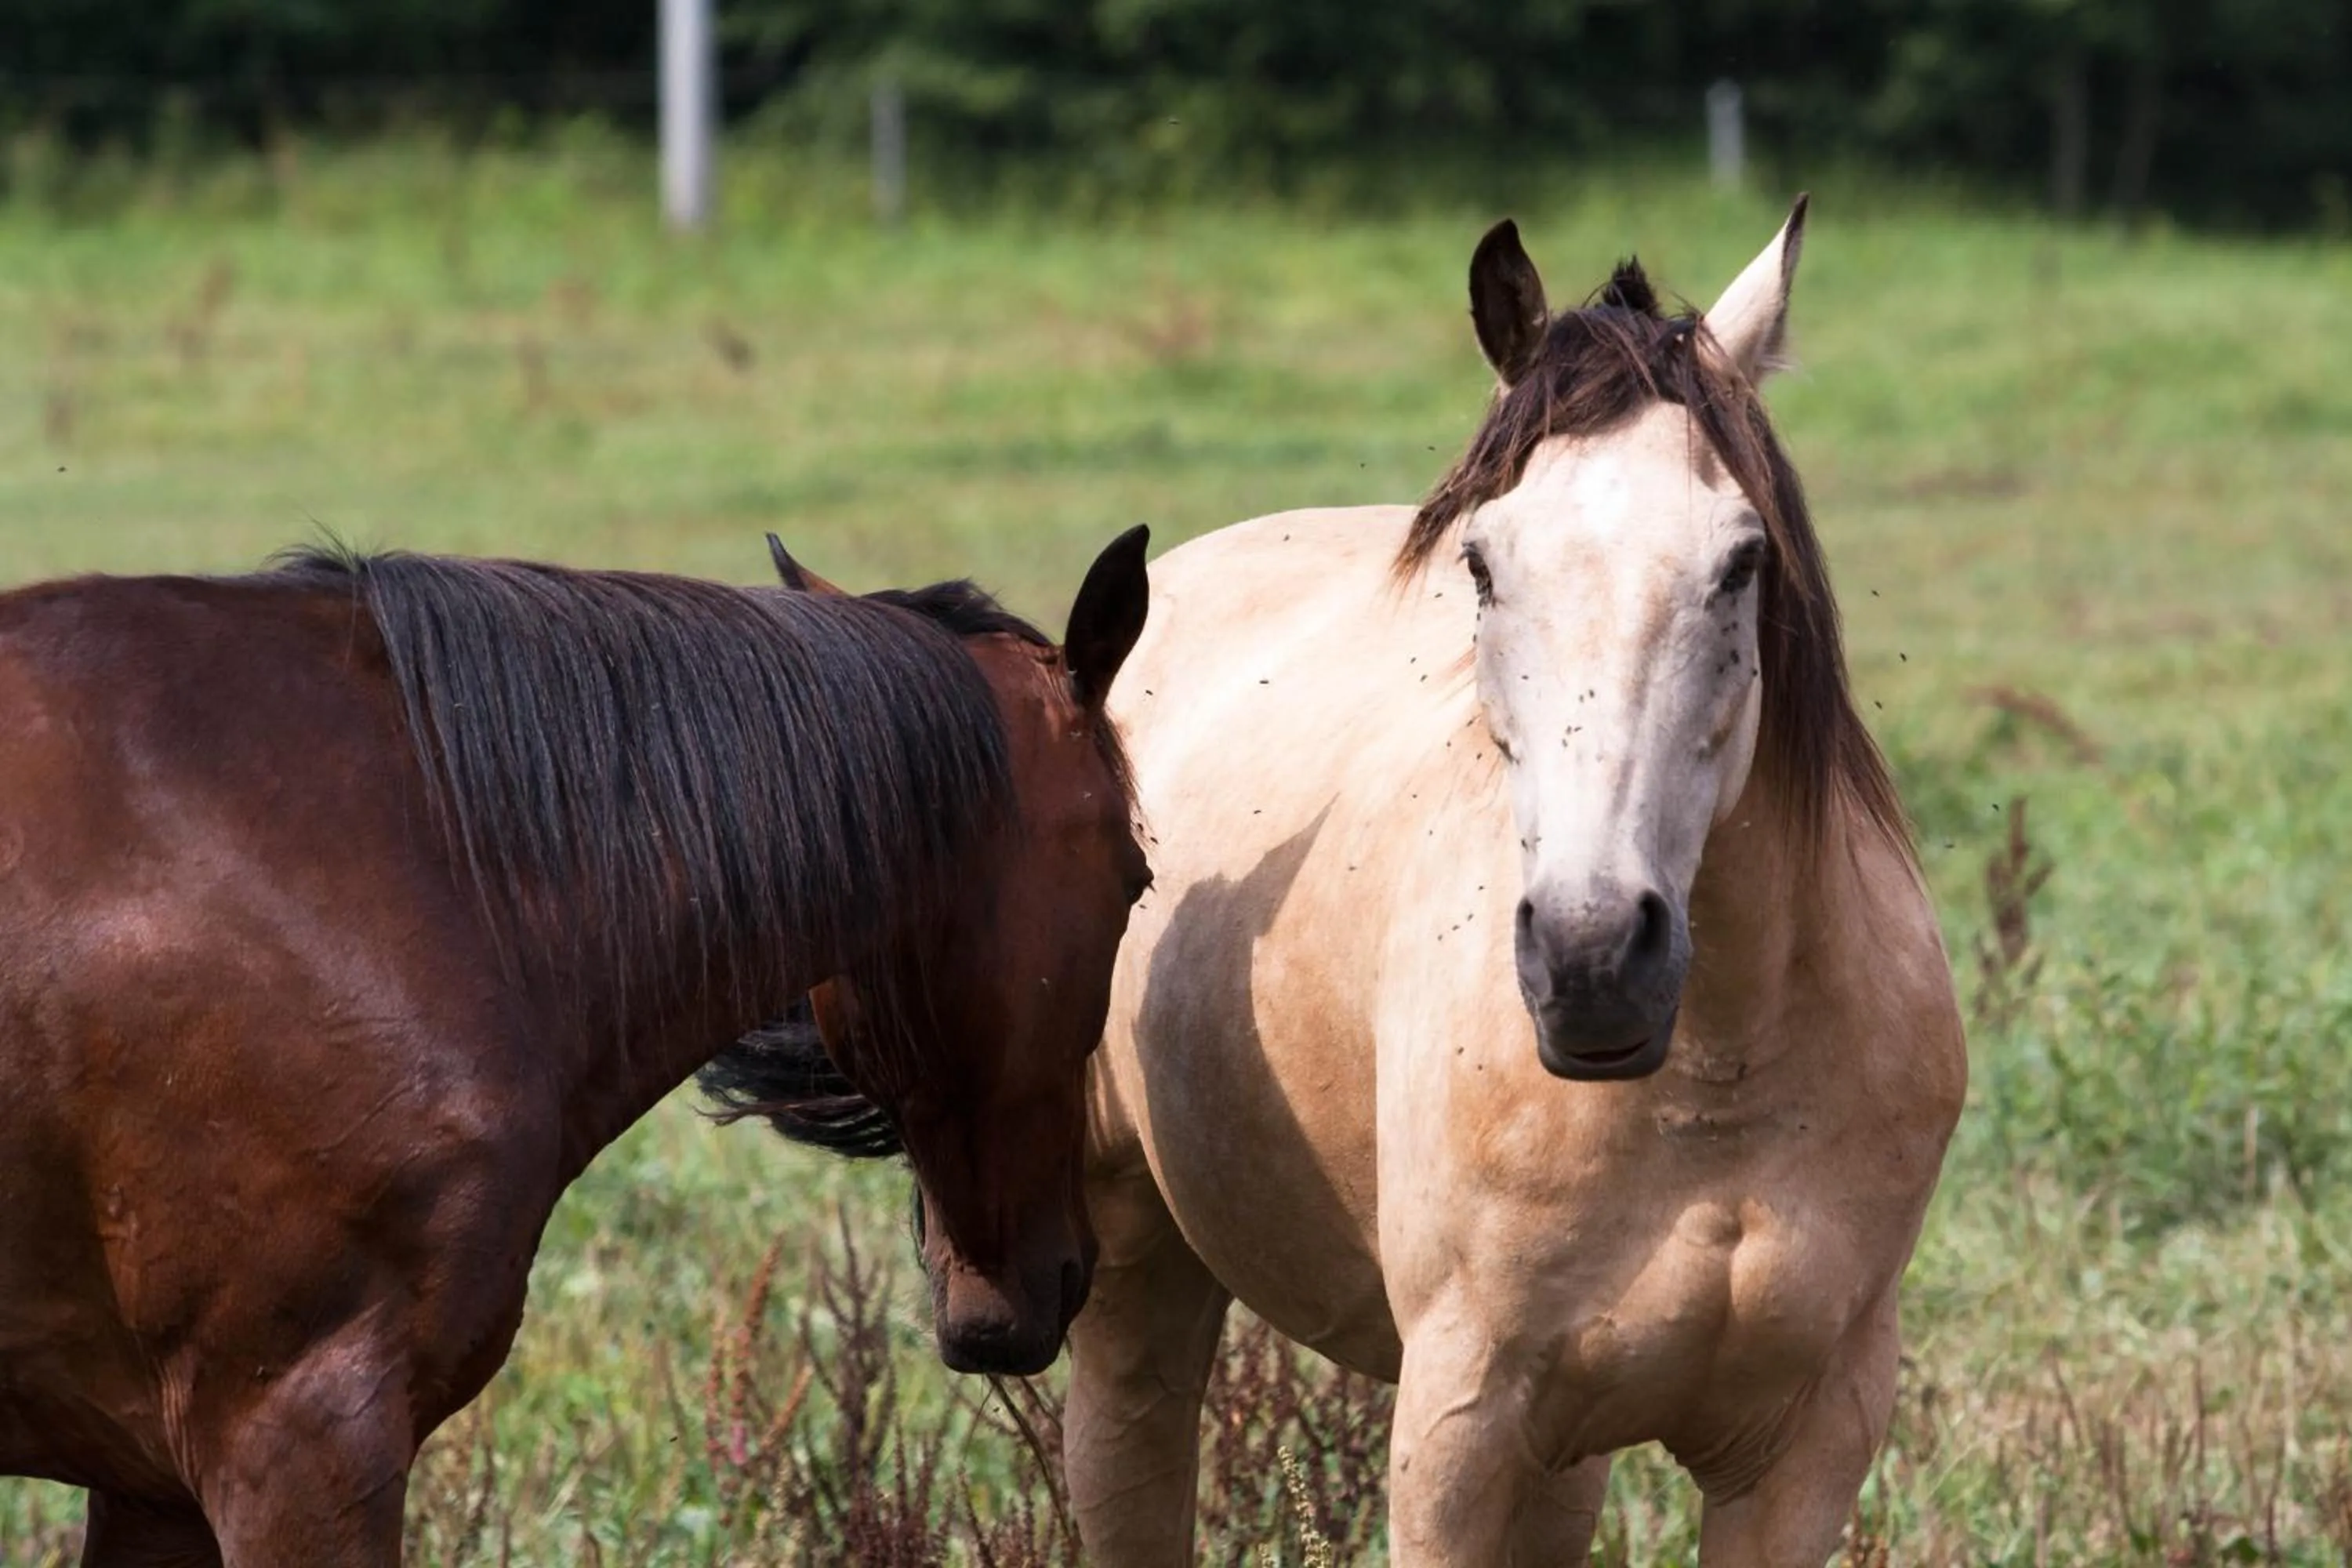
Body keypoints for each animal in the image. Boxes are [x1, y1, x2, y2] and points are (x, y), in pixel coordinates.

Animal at [1059, 202, 1970, 1565]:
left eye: (1742, 562)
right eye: (1483, 566)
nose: (1593, 960)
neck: (1720, 1081)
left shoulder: (1808, 1445)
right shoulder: (1459, 1432)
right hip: (1134, 1281)